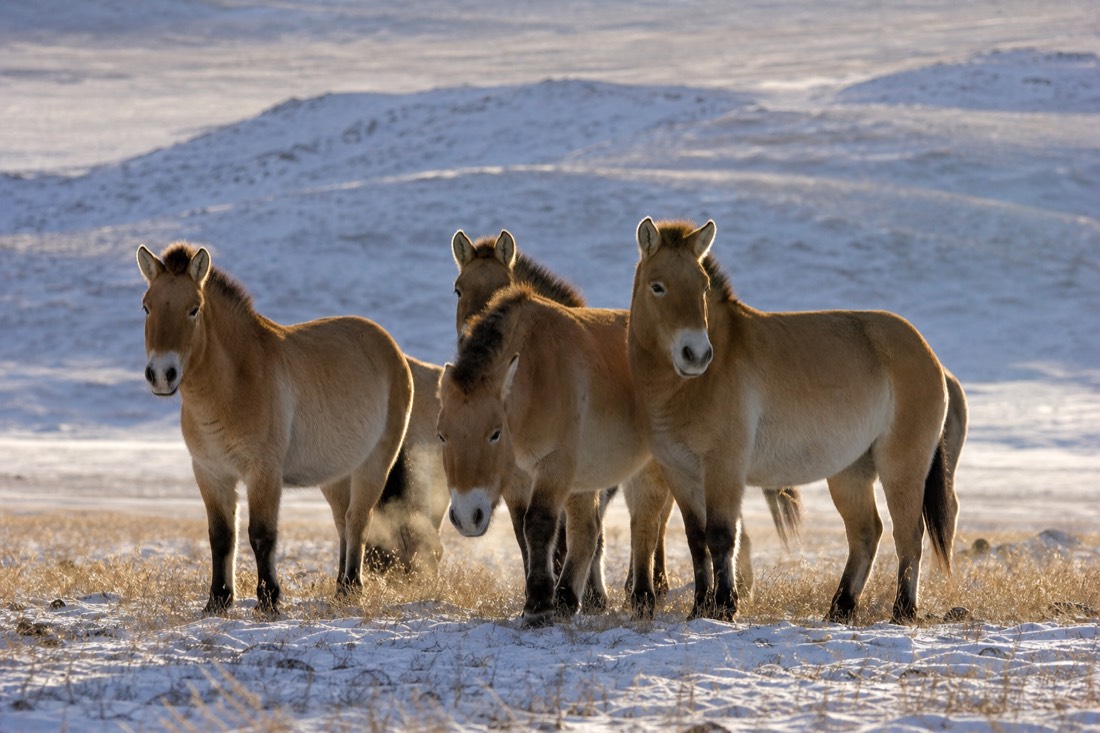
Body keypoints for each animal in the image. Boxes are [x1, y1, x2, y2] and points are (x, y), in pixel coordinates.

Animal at [137, 242, 413, 614]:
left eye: (194, 309)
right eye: (146, 306)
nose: (161, 375)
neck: (235, 382)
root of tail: (391, 348)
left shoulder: (263, 472)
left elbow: (261, 534)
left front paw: (268, 599)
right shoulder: (210, 473)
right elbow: (221, 536)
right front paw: (218, 600)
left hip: (374, 464)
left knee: (358, 520)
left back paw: (350, 588)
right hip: (335, 475)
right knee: (342, 522)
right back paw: (339, 585)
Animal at [627, 218, 958, 624]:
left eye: (702, 287)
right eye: (657, 286)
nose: (696, 355)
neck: (688, 386)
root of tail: (928, 354)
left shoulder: (724, 466)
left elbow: (721, 535)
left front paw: (724, 606)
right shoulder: (679, 471)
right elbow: (697, 539)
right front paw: (699, 607)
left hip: (901, 466)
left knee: (908, 534)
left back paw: (902, 611)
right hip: (851, 471)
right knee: (866, 532)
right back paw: (840, 608)